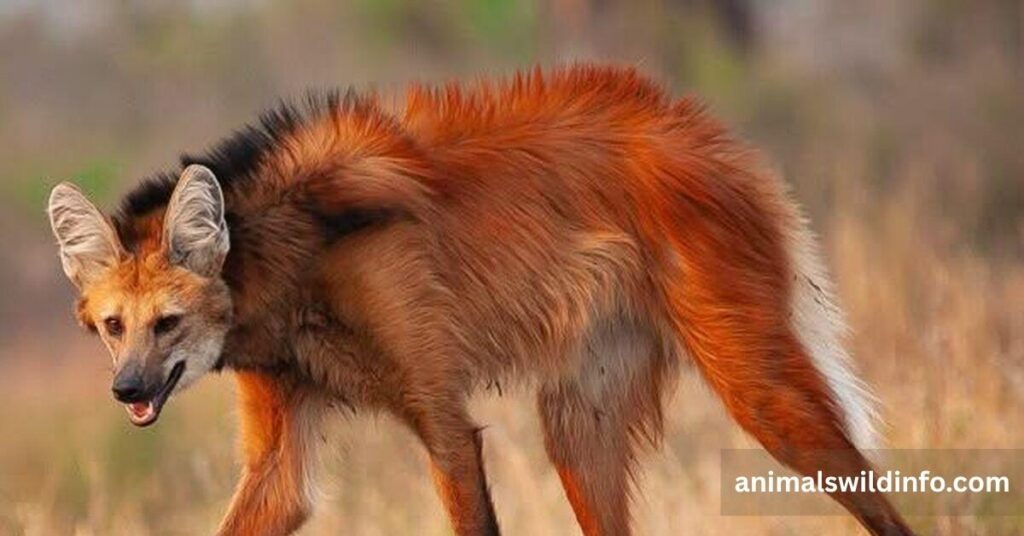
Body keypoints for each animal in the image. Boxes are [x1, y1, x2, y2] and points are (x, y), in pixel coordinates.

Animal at [47, 65, 913, 535]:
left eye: (168, 324)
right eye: (113, 327)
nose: (125, 387)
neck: (290, 272)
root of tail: (696, 126)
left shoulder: (442, 416)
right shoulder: (283, 437)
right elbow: (280, 493)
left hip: (752, 381)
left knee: (870, 489)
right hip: (582, 417)